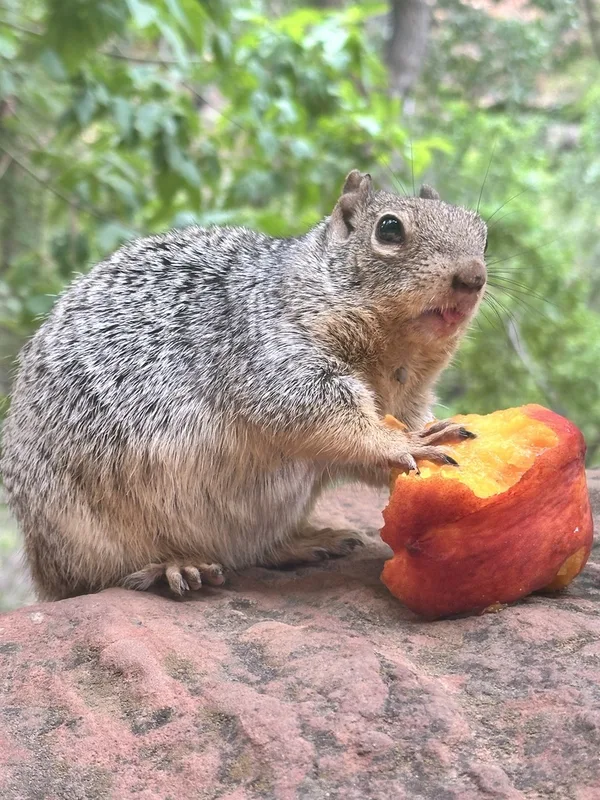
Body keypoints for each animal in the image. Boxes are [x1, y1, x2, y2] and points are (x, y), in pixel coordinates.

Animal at [1, 170, 487, 601]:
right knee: (106, 575)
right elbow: (325, 417)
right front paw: (402, 442)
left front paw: (431, 434)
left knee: (256, 552)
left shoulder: (407, 398)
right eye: (389, 229)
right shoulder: (268, 356)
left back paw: (306, 542)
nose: (474, 277)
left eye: (482, 232)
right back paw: (175, 566)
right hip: (85, 532)